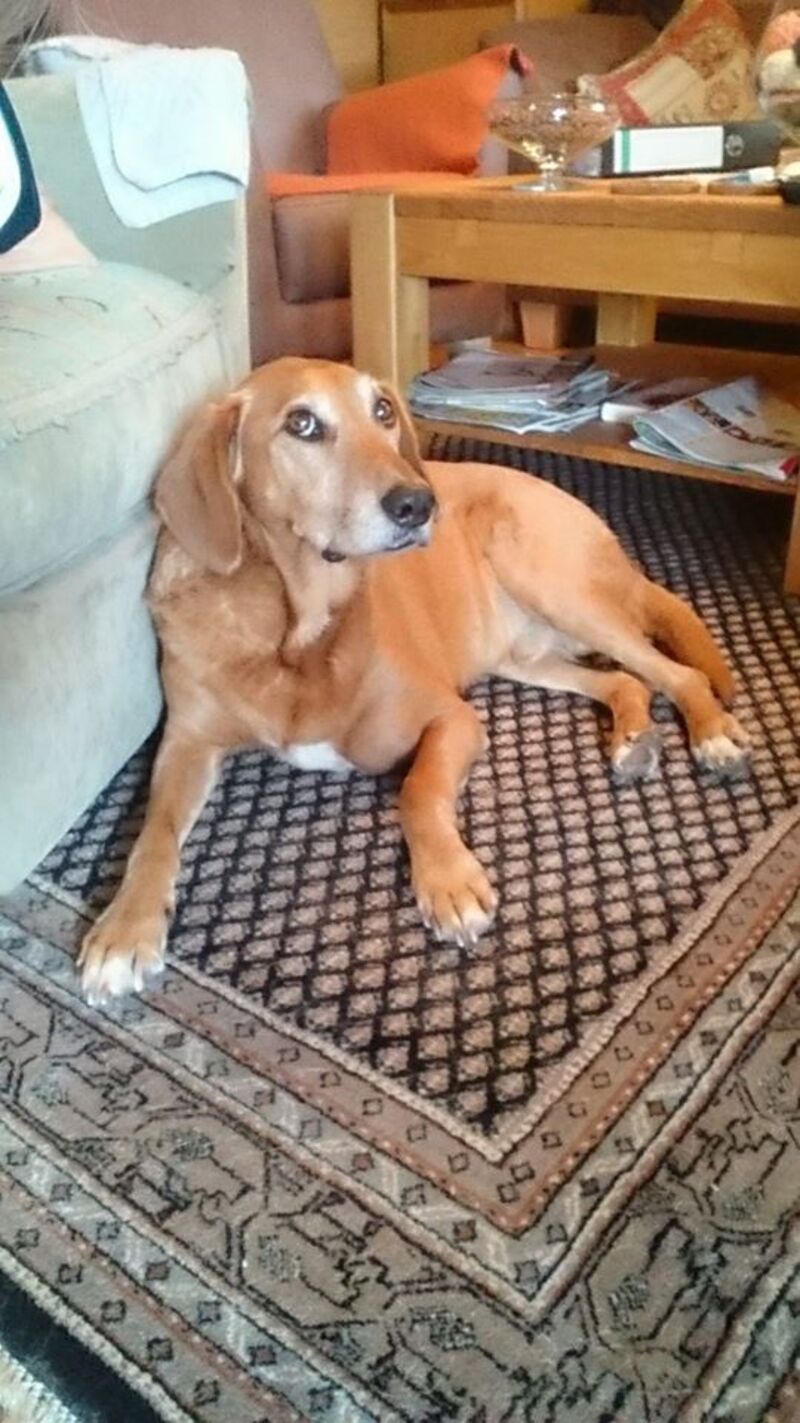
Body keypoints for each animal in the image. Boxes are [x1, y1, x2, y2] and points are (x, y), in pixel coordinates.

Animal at [78, 357, 749, 1004]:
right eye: (302, 424)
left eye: (382, 411)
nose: (418, 504)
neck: (299, 627)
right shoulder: (186, 743)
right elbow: (154, 832)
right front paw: (124, 929)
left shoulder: (452, 717)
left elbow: (417, 791)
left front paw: (448, 881)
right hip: (519, 654)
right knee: (626, 683)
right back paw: (633, 739)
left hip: (553, 584)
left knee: (677, 672)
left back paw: (712, 733)